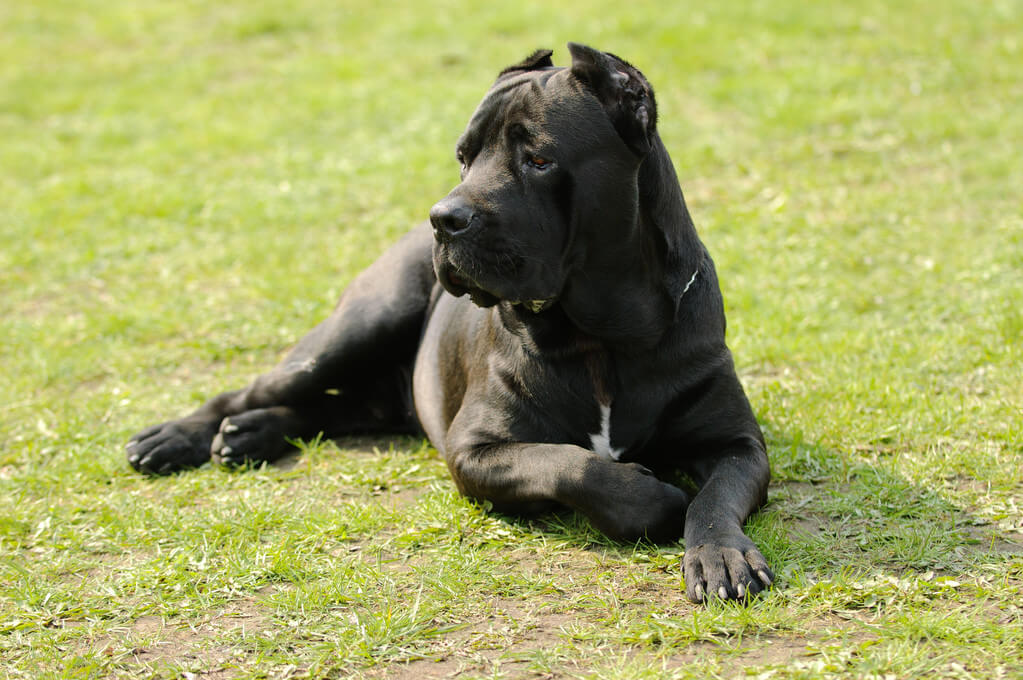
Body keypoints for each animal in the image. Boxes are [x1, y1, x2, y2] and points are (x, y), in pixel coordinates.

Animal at [125, 44, 769, 601]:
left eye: (539, 159)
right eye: (464, 156)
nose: (444, 217)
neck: (600, 338)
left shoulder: (737, 443)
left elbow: (714, 498)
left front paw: (719, 555)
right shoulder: (475, 448)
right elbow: (576, 466)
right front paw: (657, 495)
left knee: (340, 407)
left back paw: (249, 433)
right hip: (358, 326)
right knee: (256, 389)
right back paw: (175, 438)